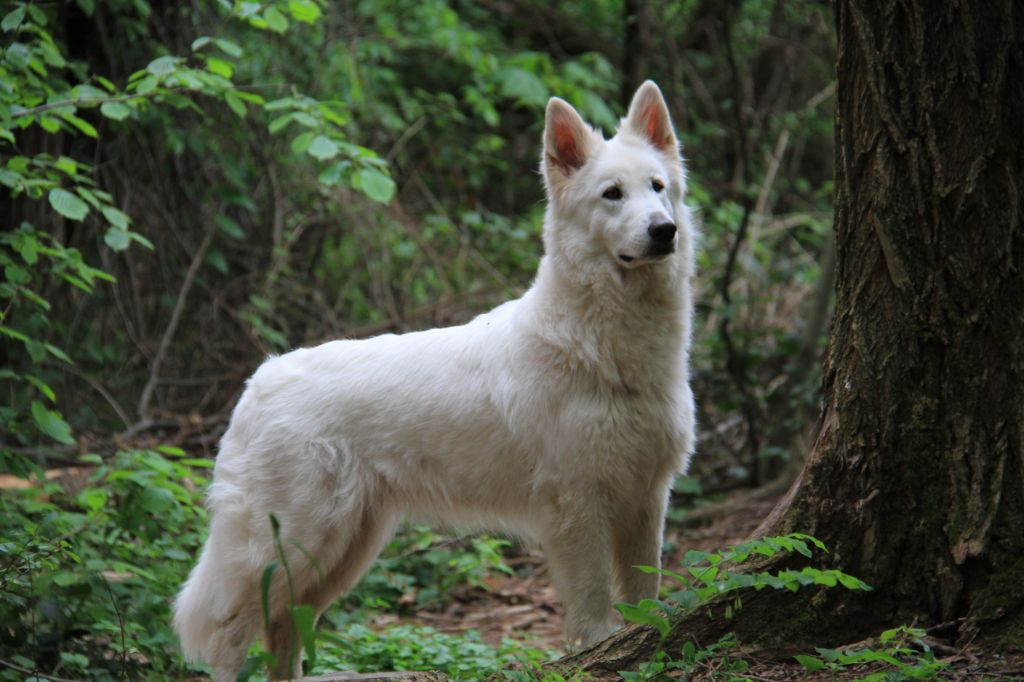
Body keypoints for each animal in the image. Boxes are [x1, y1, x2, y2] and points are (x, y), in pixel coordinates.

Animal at [174, 80, 696, 679]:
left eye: (658, 187)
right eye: (612, 194)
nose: (664, 231)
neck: (606, 349)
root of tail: (259, 378)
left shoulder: (646, 500)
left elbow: (645, 601)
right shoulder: (577, 509)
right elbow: (594, 616)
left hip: (342, 550)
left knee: (284, 628)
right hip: (290, 543)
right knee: (229, 633)